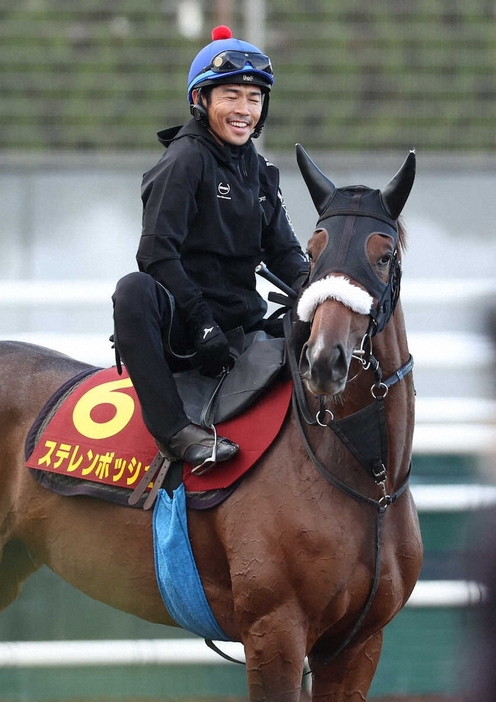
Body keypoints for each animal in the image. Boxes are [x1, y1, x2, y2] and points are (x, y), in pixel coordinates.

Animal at [0, 146, 422, 700]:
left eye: (383, 255)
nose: (324, 360)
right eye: (315, 252)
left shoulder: (358, 646)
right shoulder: (275, 632)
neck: (363, 476)